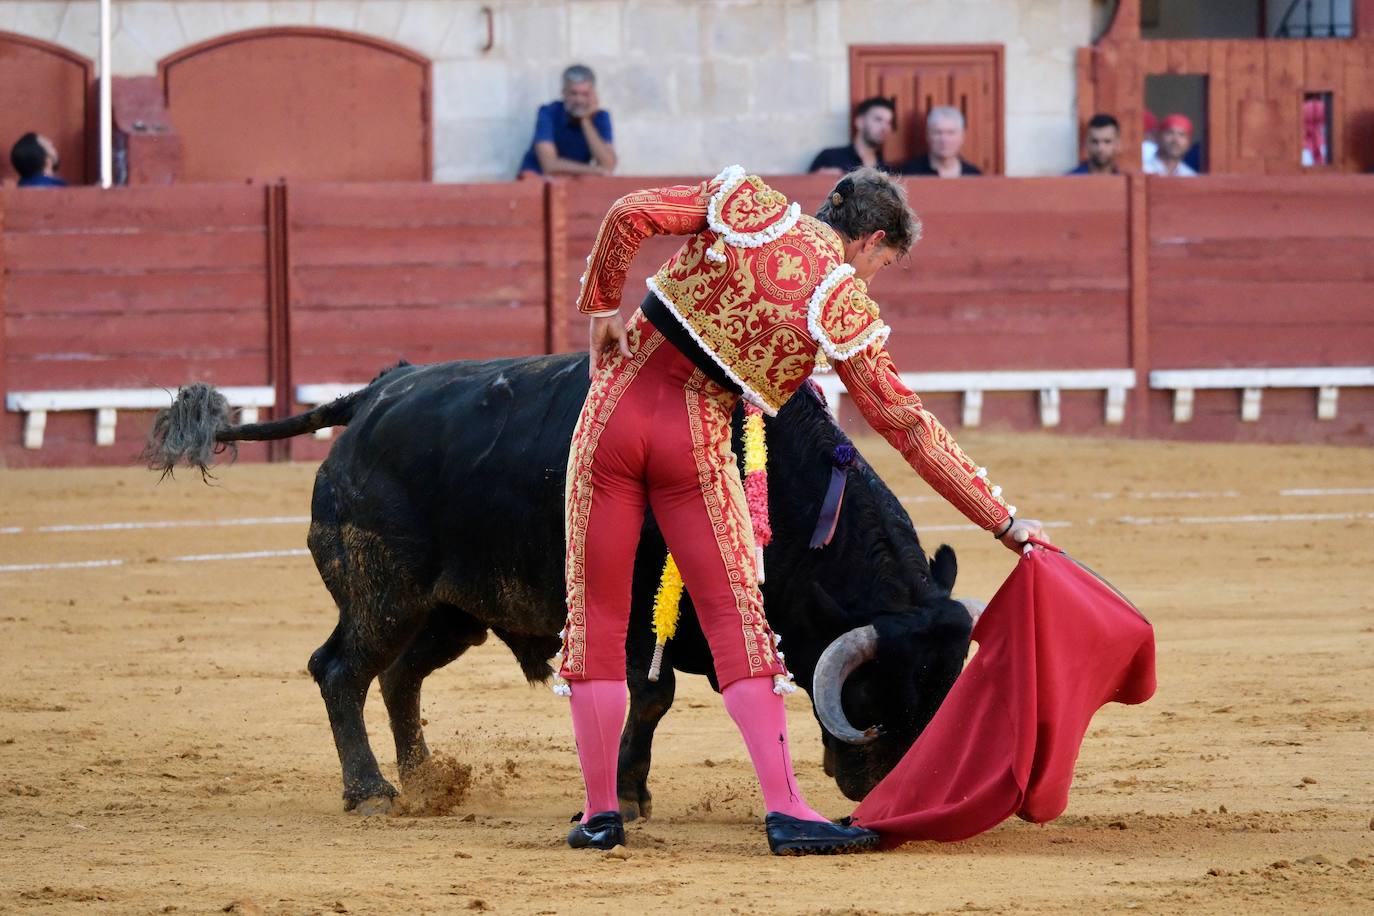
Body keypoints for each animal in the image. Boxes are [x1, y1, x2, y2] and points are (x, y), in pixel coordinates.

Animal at [150, 354, 972, 818]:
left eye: (943, 699)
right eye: (877, 695)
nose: (889, 798)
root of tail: (377, 396)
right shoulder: (641, 612)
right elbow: (651, 696)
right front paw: (630, 795)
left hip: (450, 611)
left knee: (399, 677)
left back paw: (424, 782)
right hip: (384, 592)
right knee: (341, 671)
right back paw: (373, 793)